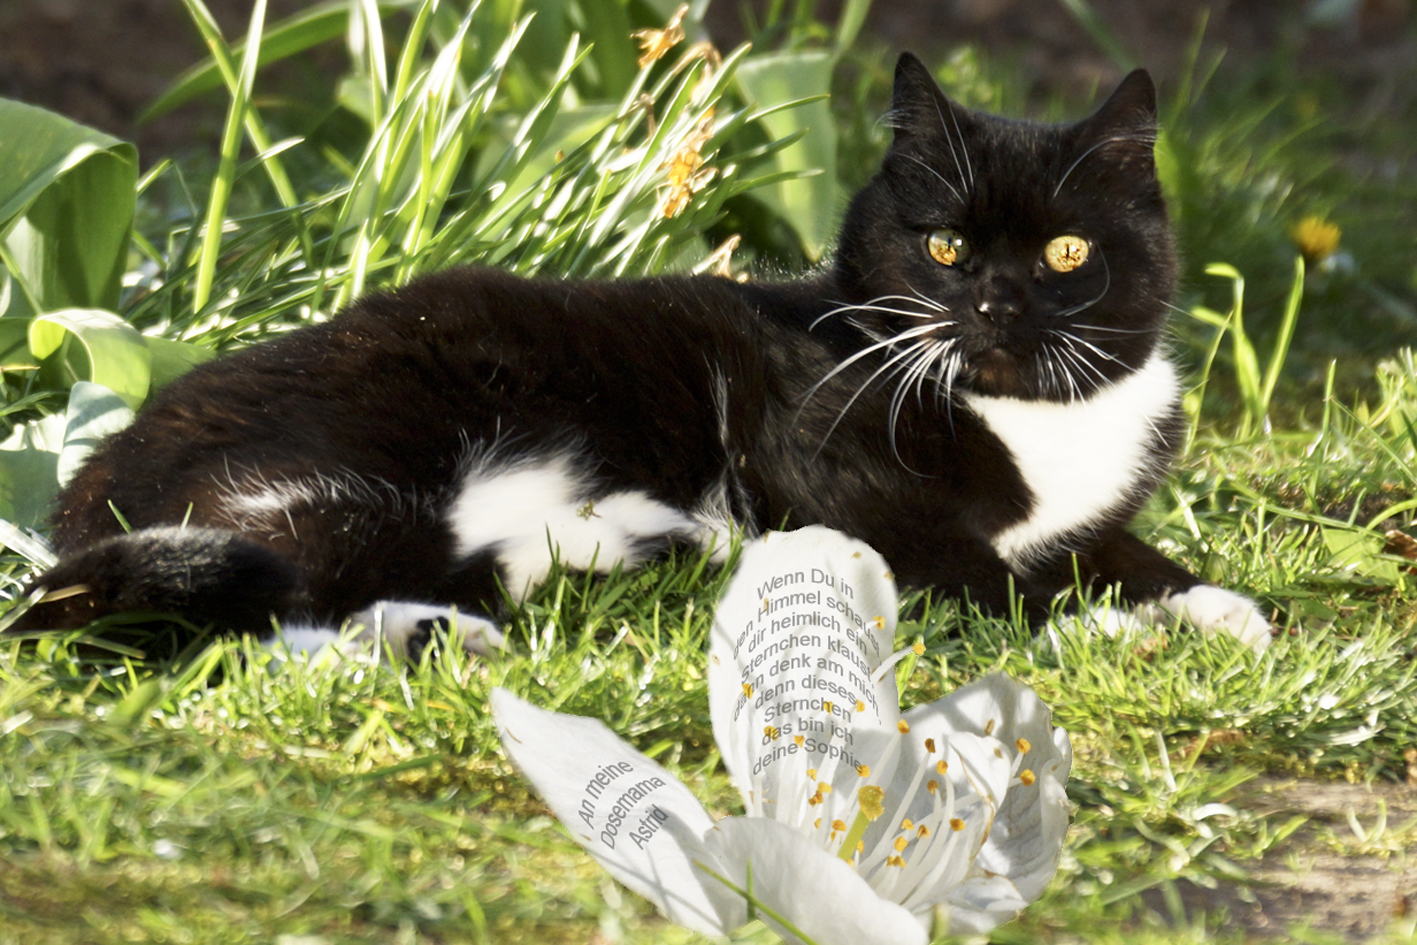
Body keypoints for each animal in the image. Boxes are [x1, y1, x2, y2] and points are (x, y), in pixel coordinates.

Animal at [8, 55, 1275, 654]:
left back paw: (447, 630)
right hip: (347, 463)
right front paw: (1101, 626)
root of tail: (84, 485)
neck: (1035, 419)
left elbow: (1113, 548)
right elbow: (971, 570)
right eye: (945, 245)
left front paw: (1214, 605)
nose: (997, 304)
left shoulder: (1080, 514)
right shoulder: (820, 465)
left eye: (1065, 251)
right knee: (255, 609)